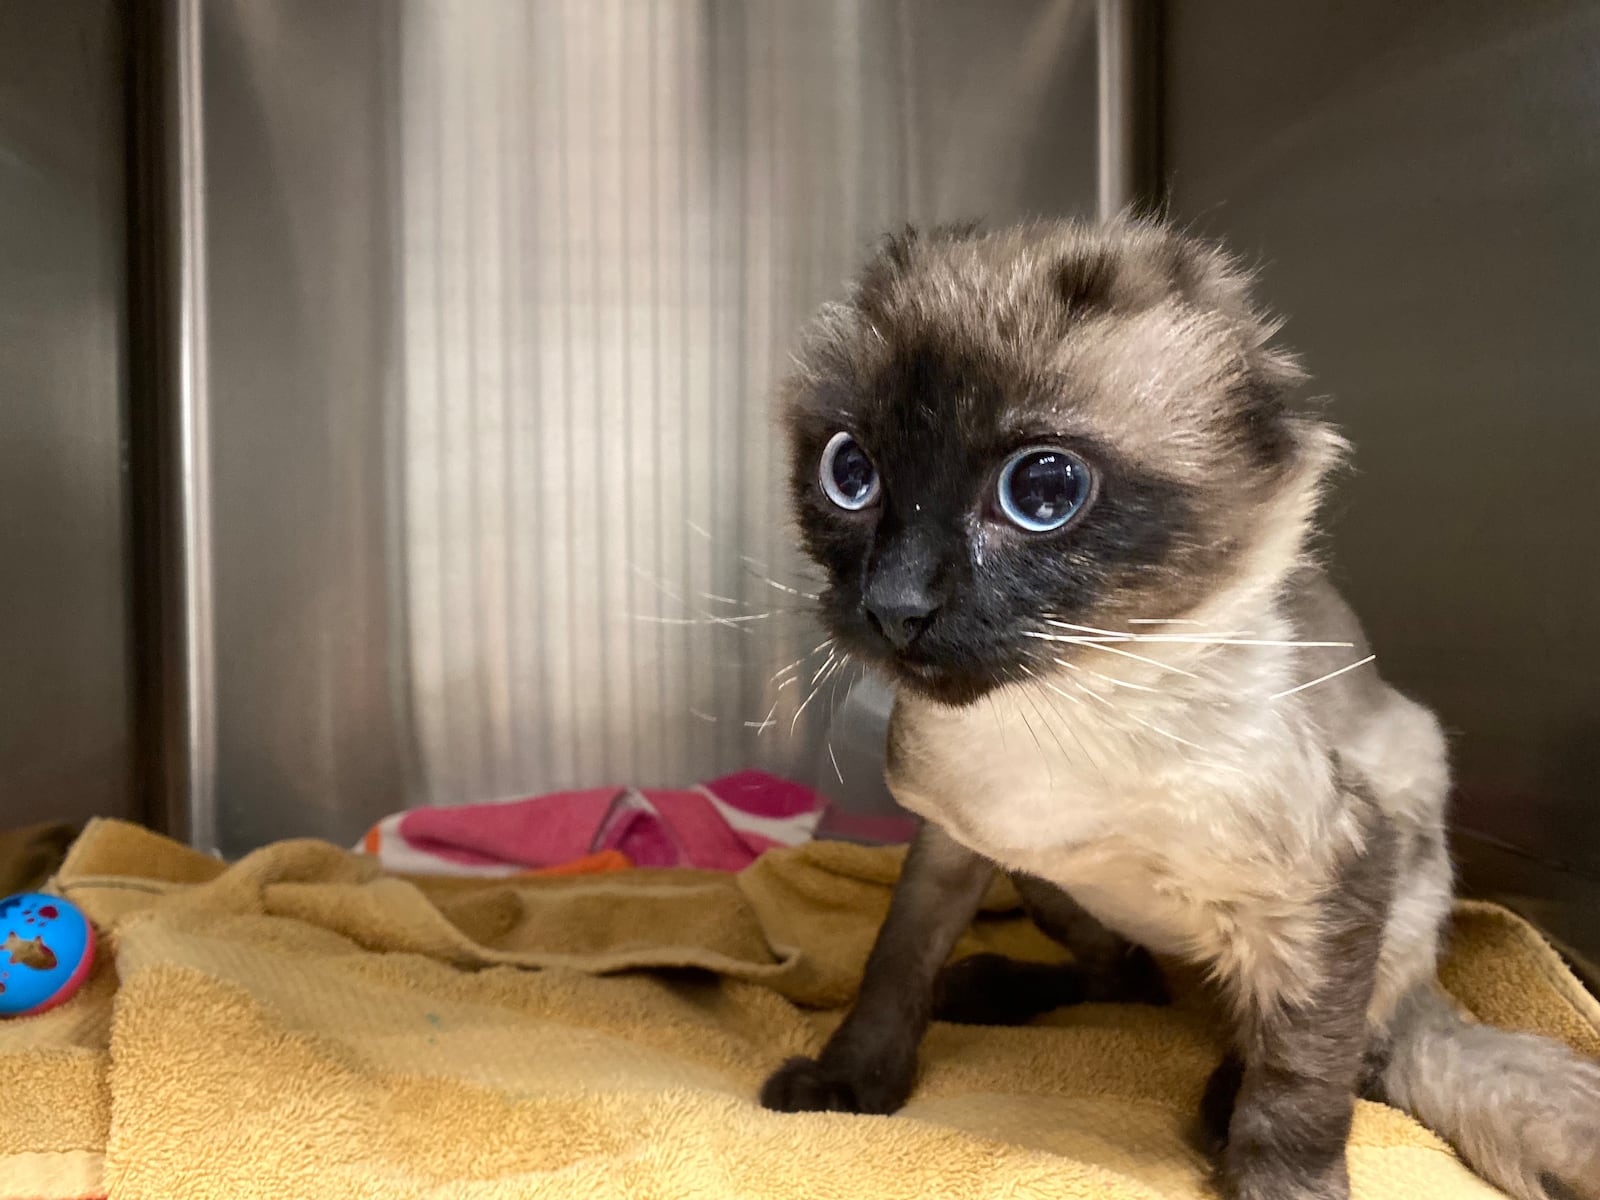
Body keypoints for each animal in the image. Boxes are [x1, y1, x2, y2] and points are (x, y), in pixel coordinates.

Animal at [758, 219, 1600, 1200]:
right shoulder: (953, 848)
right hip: (1046, 885)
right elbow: (894, 969)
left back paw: (1217, 1105)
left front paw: (1281, 1183)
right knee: (1130, 978)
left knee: (1350, 1042)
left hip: (1400, 887)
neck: (1064, 712)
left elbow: (1301, 1075)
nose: (895, 605)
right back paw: (990, 989)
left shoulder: (1338, 875)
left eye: (1042, 490)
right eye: (849, 471)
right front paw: (850, 1085)